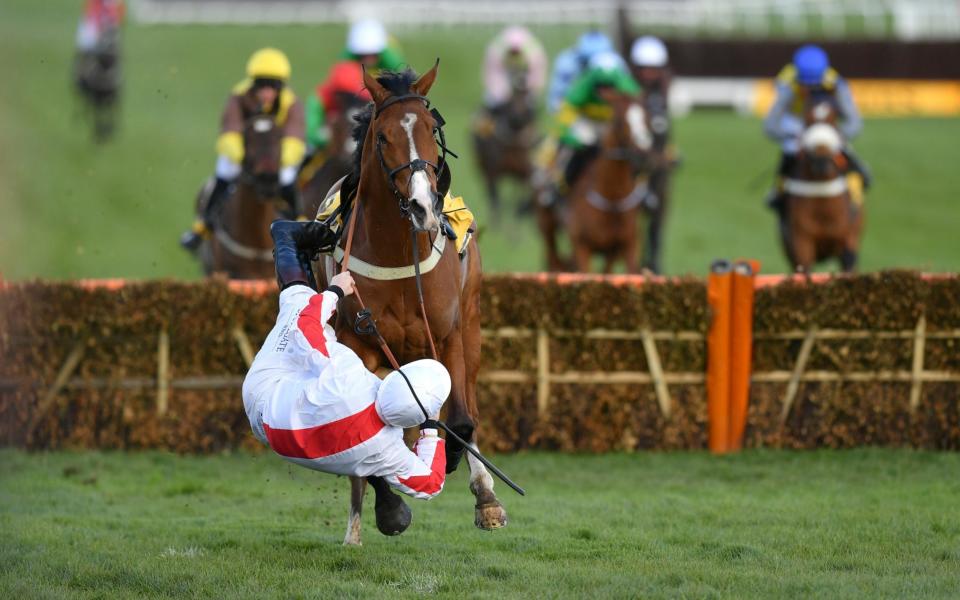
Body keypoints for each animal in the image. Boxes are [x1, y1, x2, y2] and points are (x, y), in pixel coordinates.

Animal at [316, 64, 510, 544]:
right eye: (383, 136)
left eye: (430, 129)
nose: (423, 206)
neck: (399, 256)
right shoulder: (361, 343)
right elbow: (366, 427)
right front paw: (387, 508)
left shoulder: (448, 334)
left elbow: (461, 421)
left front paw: (476, 487)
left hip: (472, 325)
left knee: (467, 405)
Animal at [472, 63, 540, 223]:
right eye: (513, 92)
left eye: (527, 92)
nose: (517, 119)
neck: (513, 143)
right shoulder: (492, 170)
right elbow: (496, 201)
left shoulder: (526, 175)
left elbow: (519, 206)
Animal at [568, 90, 656, 274]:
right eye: (620, 121)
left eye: (647, 118)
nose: (644, 155)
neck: (612, 198)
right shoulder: (582, 245)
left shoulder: (626, 245)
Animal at [784, 98, 868, 272]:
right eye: (807, 123)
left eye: (833, 122)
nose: (821, 162)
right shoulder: (801, 241)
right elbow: (804, 268)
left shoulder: (848, 239)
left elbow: (849, 262)